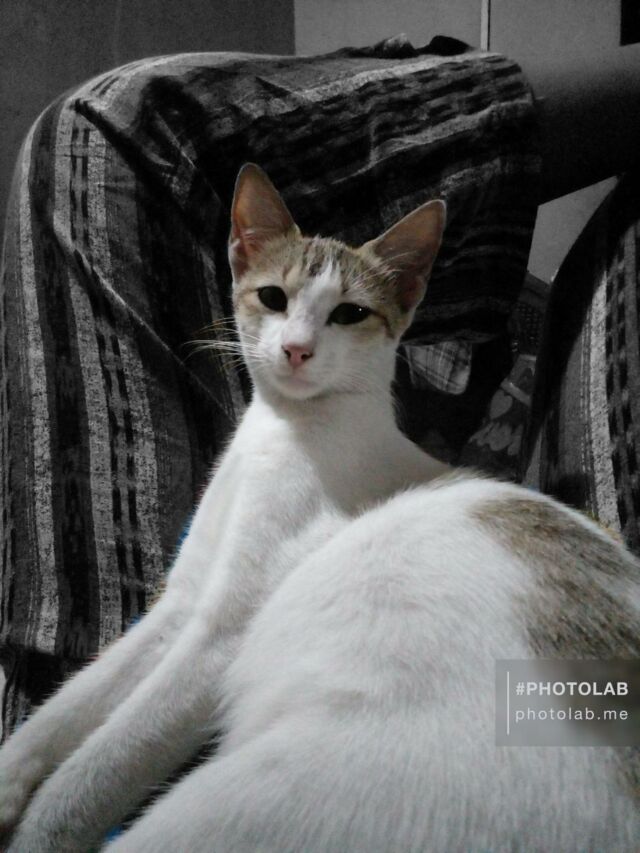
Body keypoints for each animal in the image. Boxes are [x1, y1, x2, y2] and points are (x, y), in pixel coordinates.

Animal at [0, 163, 639, 852]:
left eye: (349, 314)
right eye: (274, 298)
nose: (298, 349)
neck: (285, 428)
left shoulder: (218, 638)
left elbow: (94, 770)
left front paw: (38, 830)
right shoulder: (183, 605)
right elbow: (70, 704)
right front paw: (9, 775)